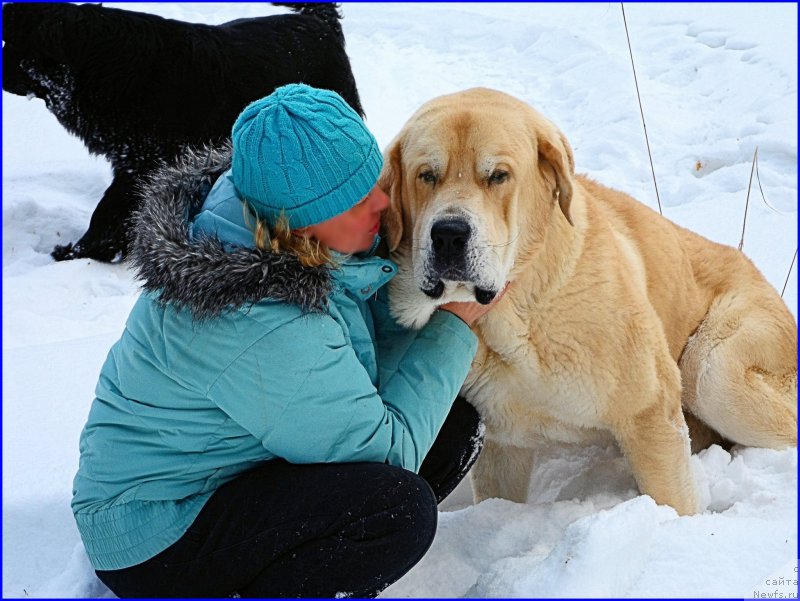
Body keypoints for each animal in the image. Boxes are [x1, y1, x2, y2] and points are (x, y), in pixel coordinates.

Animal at [2, 2, 366, 262]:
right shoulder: (133, 163)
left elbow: (106, 211)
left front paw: (79, 252)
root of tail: (320, 22)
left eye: (11, 43)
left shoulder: (145, 164)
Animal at [378, 88, 796, 516]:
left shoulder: (650, 412)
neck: (519, 311)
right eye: (427, 175)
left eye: (498, 176)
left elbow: (672, 501)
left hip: (713, 371)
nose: (448, 234)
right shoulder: (503, 440)